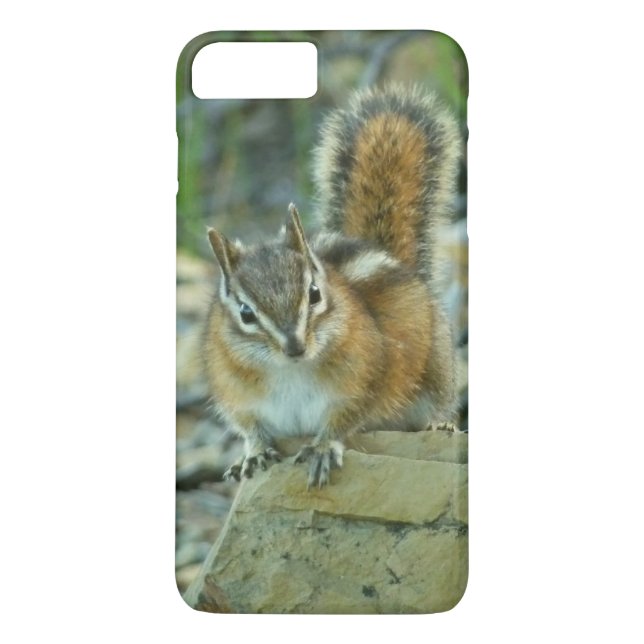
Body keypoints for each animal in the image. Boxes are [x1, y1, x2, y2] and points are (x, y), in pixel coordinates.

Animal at [205, 85, 462, 489]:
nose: (295, 347)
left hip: (437, 371)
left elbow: (344, 419)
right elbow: (249, 428)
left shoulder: (362, 381)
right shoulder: (237, 395)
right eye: (245, 313)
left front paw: (323, 447)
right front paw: (254, 453)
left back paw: (440, 424)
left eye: (314, 294)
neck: (289, 371)